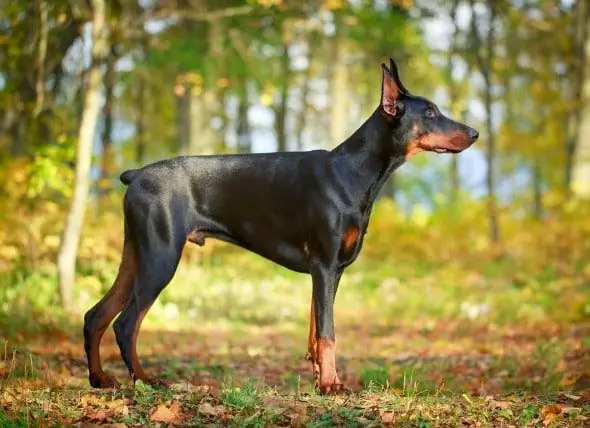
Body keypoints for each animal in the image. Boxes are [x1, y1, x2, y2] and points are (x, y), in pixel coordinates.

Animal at [84, 56, 480, 394]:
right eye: (430, 112)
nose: (475, 133)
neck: (353, 172)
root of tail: (135, 175)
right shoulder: (324, 264)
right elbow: (328, 332)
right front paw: (331, 385)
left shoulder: (331, 271)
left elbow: (315, 330)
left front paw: (320, 378)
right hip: (161, 257)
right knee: (126, 323)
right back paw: (145, 380)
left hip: (136, 255)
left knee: (96, 315)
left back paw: (100, 378)